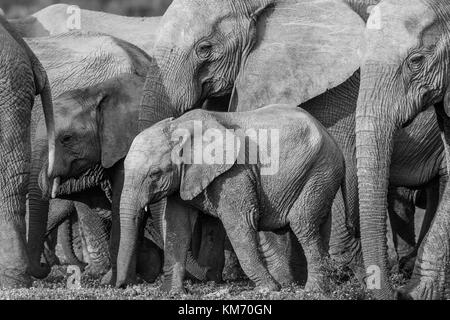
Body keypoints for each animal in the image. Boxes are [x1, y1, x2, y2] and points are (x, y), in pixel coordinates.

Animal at [116, 104, 344, 292]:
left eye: (155, 173)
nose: (122, 285)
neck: (180, 125)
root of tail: (330, 136)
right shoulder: (185, 178)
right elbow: (177, 226)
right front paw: (171, 293)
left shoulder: (234, 172)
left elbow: (240, 222)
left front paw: (268, 288)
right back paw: (294, 285)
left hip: (320, 170)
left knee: (302, 223)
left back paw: (313, 290)